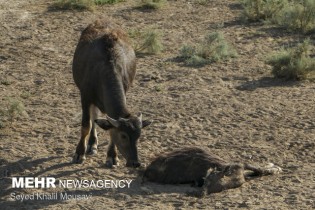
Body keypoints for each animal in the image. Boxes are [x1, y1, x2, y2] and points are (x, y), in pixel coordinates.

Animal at [72, 20, 151, 167]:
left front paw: (112, 156)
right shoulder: (85, 97)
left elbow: (108, 130)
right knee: (93, 116)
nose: (135, 163)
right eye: (123, 136)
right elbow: (86, 125)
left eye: (138, 136)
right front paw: (79, 153)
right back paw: (91, 144)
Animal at [143, 148, 282, 194]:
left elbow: (258, 170)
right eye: (207, 180)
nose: (200, 193)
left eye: (210, 179)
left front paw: (275, 168)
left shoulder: (241, 165)